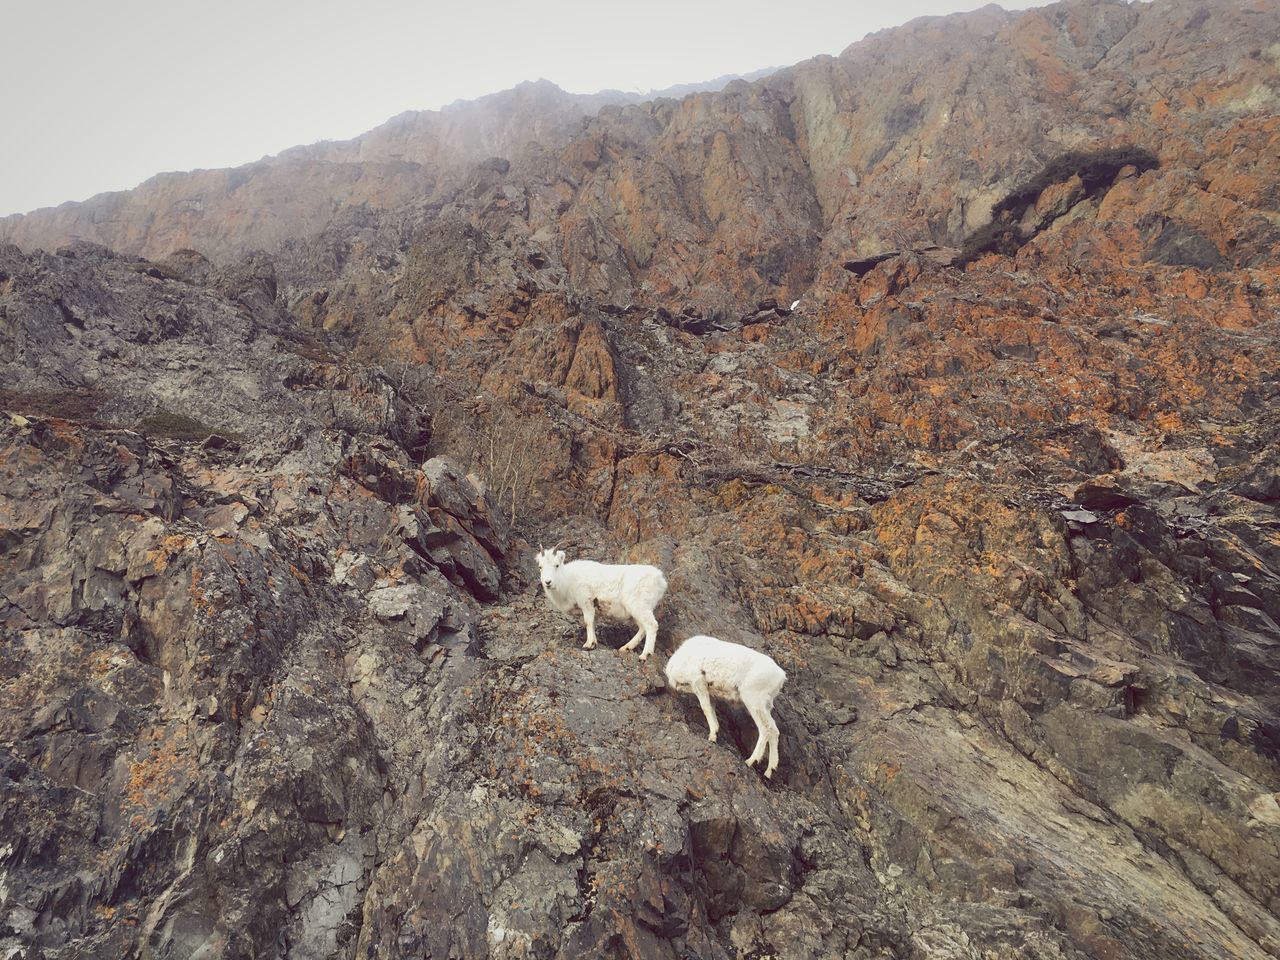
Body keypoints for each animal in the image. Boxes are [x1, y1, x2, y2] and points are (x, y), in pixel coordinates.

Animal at [532, 547, 670, 660]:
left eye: (556, 565)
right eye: (540, 567)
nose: (548, 582)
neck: (567, 582)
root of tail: (660, 580)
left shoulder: (586, 603)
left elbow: (588, 622)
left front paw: (588, 645)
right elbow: (592, 624)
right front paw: (593, 644)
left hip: (639, 606)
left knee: (651, 625)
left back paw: (644, 655)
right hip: (635, 612)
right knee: (642, 628)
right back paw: (625, 648)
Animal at [665, 634, 783, 778]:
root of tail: (781, 677)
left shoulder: (698, 682)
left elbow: (705, 708)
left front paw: (712, 737)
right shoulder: (710, 694)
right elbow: (711, 709)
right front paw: (715, 732)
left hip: (754, 702)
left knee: (765, 729)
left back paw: (751, 761)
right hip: (765, 707)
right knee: (774, 730)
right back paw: (769, 771)